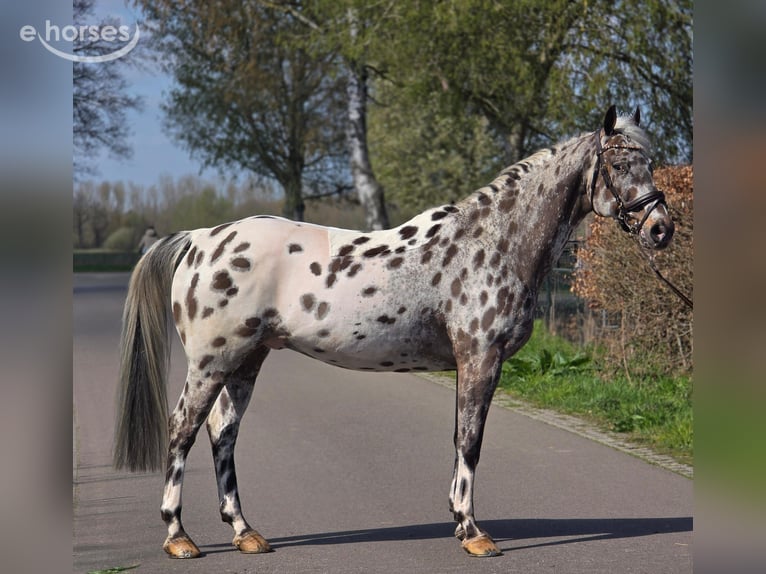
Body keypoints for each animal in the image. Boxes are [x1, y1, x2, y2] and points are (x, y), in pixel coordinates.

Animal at [113, 105, 674, 559]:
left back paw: (245, 532)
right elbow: (470, 440)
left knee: (222, 433)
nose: (661, 228)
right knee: (182, 430)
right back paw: (179, 537)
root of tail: (200, 239)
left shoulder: (470, 363)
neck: (493, 243)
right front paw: (473, 533)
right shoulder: (481, 358)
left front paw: (460, 522)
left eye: (651, 162)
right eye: (618, 164)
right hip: (211, 363)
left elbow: (460, 439)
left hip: (247, 361)